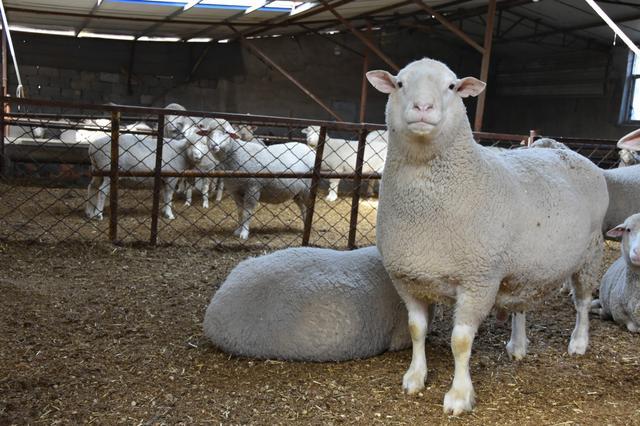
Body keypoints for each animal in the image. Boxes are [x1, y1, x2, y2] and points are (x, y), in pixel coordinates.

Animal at [85, 118, 225, 221]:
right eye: (190, 144)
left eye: (204, 144)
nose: (197, 156)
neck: (181, 152)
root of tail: (92, 147)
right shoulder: (171, 177)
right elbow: (169, 195)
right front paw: (169, 214)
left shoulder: (164, 178)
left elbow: (165, 195)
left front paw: (164, 211)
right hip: (108, 169)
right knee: (102, 191)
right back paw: (98, 214)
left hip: (97, 169)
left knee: (92, 187)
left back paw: (90, 213)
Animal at [368, 58, 608, 414]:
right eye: (399, 83)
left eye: (452, 86)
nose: (423, 107)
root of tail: (563, 148)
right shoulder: (407, 278)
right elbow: (416, 330)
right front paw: (415, 377)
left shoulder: (478, 279)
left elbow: (460, 341)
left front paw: (459, 396)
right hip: (525, 265)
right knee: (523, 303)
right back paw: (518, 345)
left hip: (590, 251)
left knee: (581, 302)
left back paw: (578, 342)